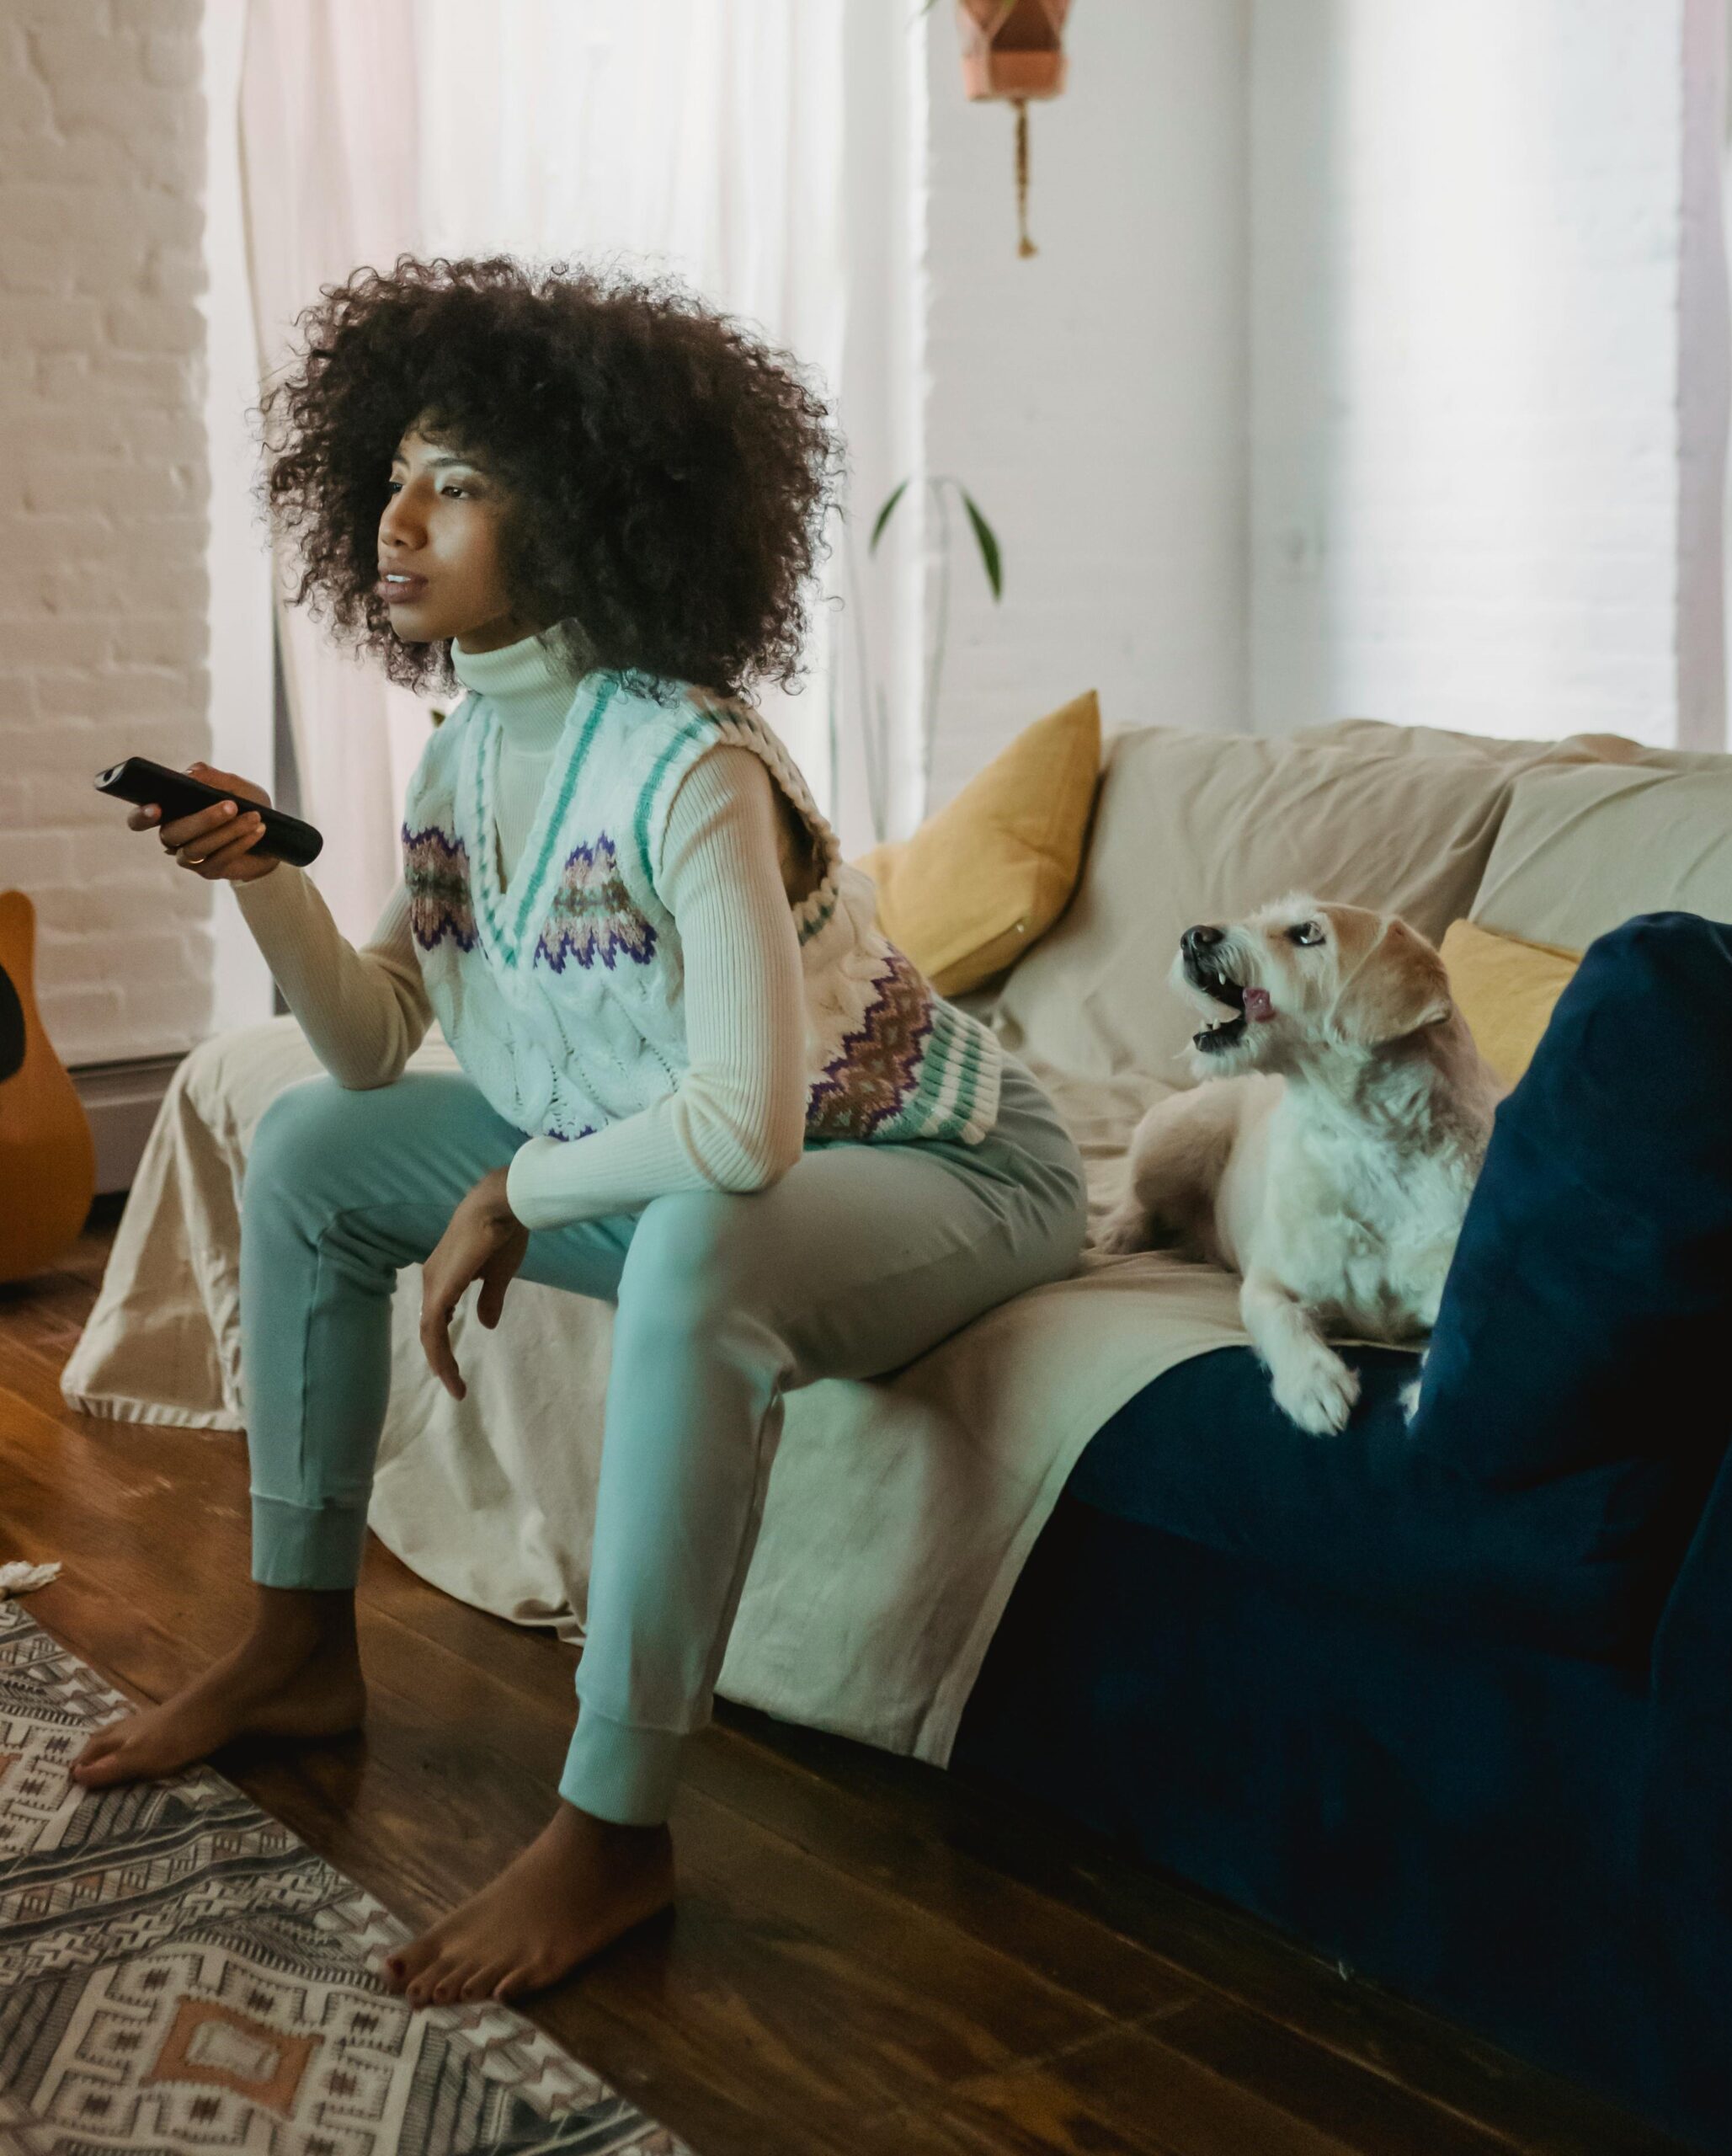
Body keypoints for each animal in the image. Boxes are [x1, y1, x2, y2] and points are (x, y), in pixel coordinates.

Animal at [1102, 892, 1507, 1431]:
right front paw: (1313, 1383)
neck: (1366, 1143)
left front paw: (1428, 1394)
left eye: (1306, 934)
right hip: (1179, 1137)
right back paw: (1121, 1230)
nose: (1193, 936)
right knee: (1137, 1192)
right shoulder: (1267, 1283)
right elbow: (1281, 1317)